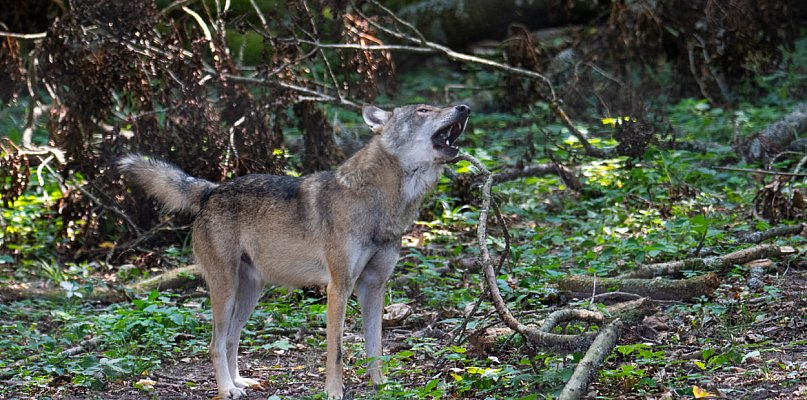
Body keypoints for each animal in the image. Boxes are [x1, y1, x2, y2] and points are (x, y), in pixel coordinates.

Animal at [120, 104, 474, 400]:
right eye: (423, 110)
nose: (464, 107)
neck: (381, 205)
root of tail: (213, 189)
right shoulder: (338, 288)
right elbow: (337, 352)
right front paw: (334, 392)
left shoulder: (374, 287)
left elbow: (376, 347)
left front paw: (382, 386)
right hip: (226, 290)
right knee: (215, 344)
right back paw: (227, 389)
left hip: (250, 293)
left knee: (232, 338)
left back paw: (240, 382)